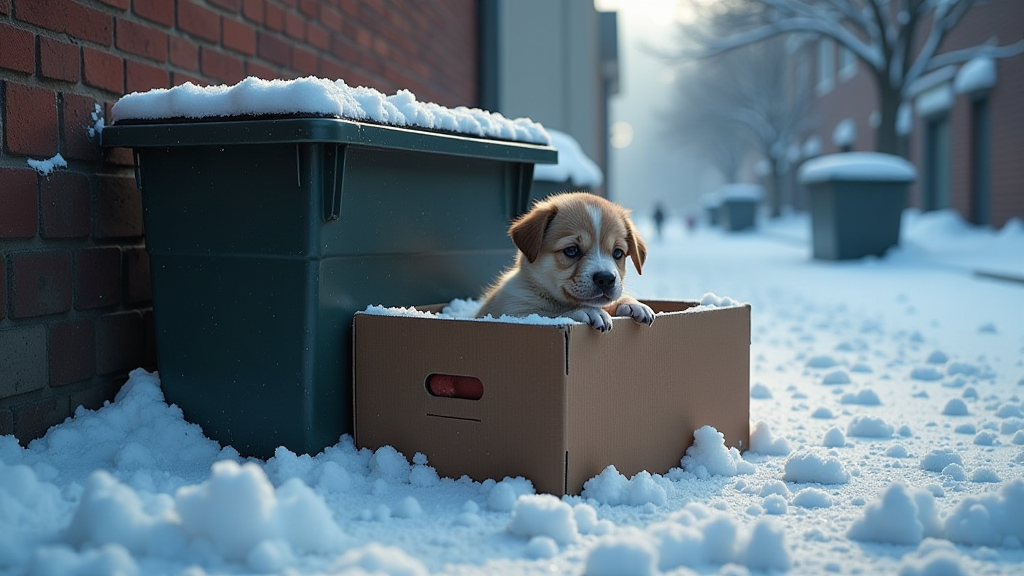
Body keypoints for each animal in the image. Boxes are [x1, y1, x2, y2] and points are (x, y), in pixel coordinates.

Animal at [477, 190, 655, 330]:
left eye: (617, 253)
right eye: (571, 250)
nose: (606, 279)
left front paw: (632, 303)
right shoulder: (515, 312)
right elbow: (552, 315)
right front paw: (587, 311)